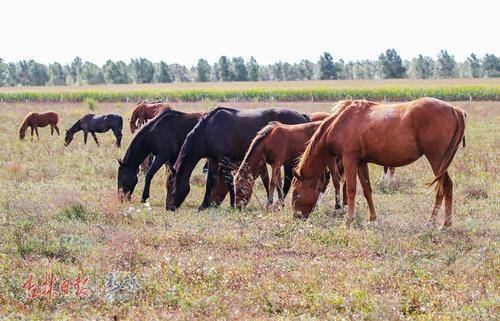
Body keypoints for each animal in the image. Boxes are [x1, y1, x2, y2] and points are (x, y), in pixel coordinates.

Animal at [166, 106, 310, 210]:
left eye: (170, 186)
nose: (168, 207)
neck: (208, 130)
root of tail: (302, 115)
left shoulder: (225, 160)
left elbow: (230, 182)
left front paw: (232, 204)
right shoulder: (213, 161)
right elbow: (209, 183)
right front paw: (203, 205)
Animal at [292, 97, 466, 228]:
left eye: (296, 193)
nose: (296, 217)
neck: (341, 122)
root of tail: (453, 109)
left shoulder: (349, 160)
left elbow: (351, 189)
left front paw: (349, 219)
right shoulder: (361, 163)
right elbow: (367, 190)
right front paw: (372, 218)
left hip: (436, 160)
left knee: (445, 186)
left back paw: (439, 223)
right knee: (445, 187)